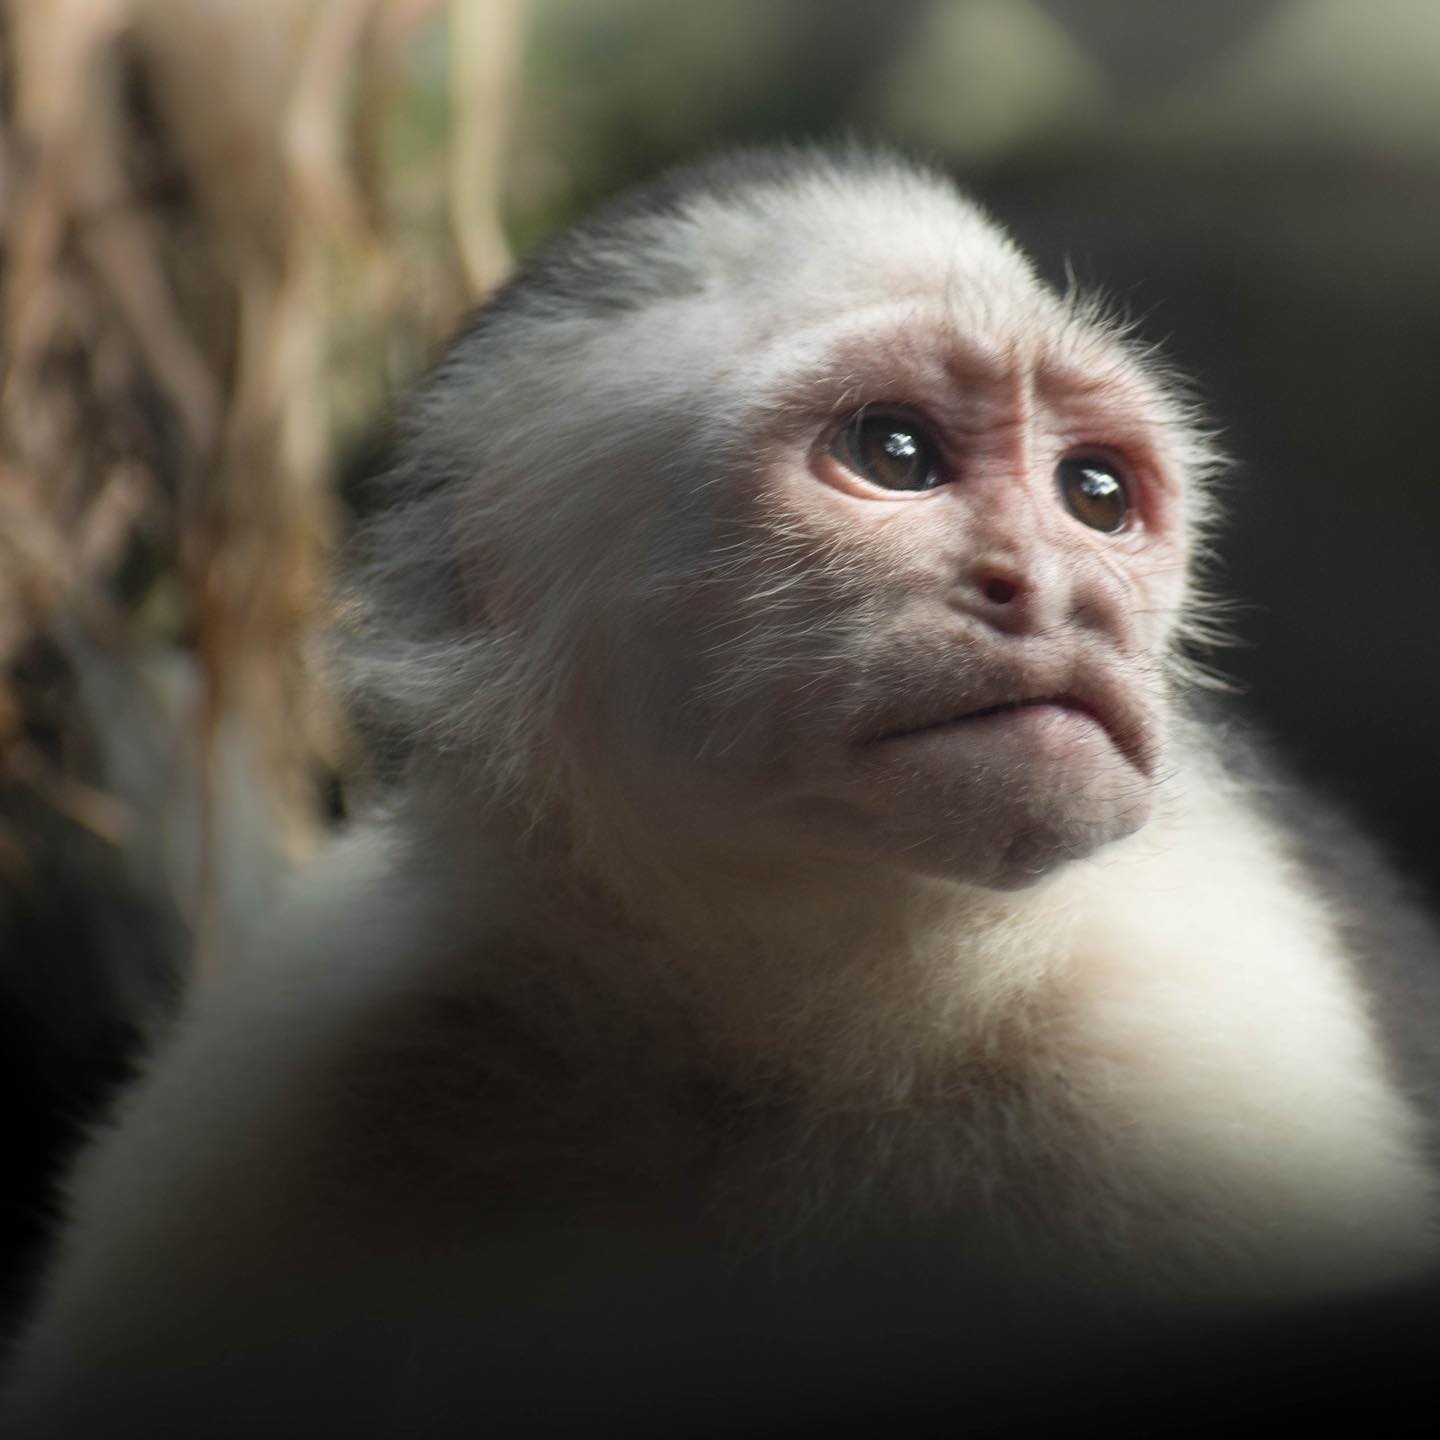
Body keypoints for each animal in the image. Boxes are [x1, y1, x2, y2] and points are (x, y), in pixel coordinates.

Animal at [5, 145, 1440, 1436]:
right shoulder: (322, 1052)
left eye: (1093, 493)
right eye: (895, 450)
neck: (786, 1034)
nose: (1059, 589)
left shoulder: (1185, 1045)